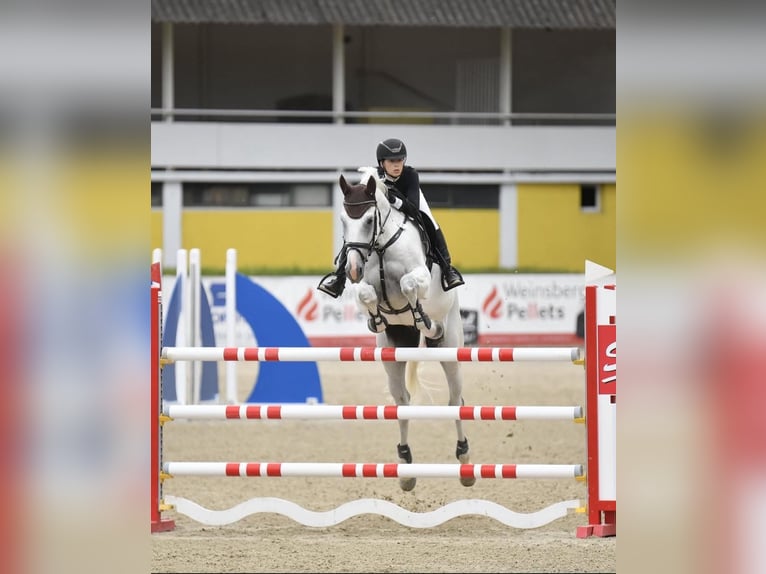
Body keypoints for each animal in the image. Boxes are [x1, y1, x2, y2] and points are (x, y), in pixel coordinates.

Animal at [338, 167, 474, 491]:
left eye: (369, 221)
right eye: (343, 221)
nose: (352, 269)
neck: (380, 246)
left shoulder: (419, 275)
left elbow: (408, 284)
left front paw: (420, 315)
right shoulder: (366, 286)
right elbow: (367, 294)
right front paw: (375, 318)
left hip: (450, 347)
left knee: (455, 400)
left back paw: (464, 460)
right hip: (393, 353)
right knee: (402, 403)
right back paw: (406, 468)